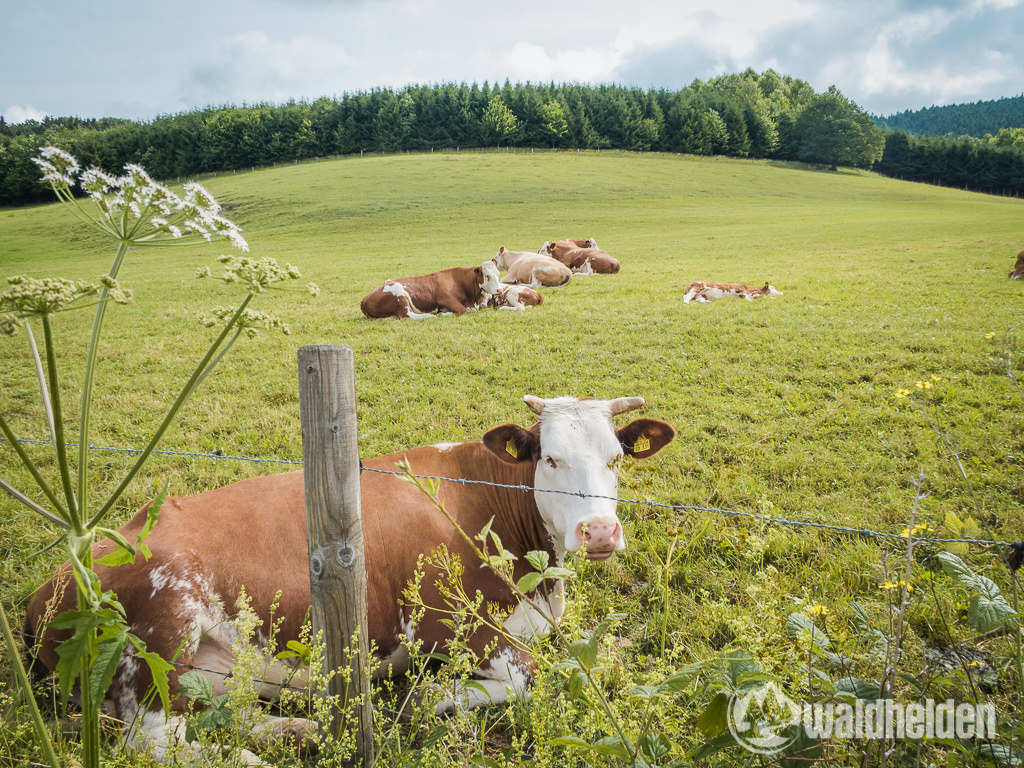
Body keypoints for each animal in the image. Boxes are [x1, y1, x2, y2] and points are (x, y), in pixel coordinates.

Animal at [24, 397, 675, 765]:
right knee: (153, 739)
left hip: (215, 666)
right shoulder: (446, 629)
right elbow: (529, 677)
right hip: (158, 642)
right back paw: (257, 757)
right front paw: (428, 698)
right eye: (550, 459)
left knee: (221, 710)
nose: (600, 532)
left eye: (617, 457)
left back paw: (299, 729)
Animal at [360, 259, 499, 319]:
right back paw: (430, 315)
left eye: (498, 273)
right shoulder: (445, 298)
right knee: (408, 315)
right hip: (399, 294)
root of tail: (365, 298)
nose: (498, 290)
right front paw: (443, 313)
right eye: (487, 276)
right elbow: (463, 310)